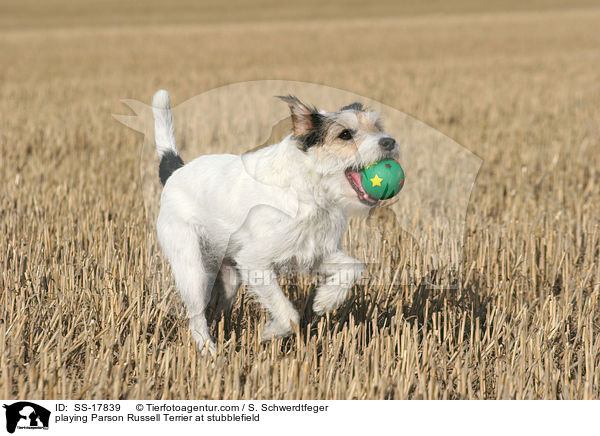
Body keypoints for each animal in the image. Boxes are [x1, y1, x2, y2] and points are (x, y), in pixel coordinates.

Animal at [151, 90, 398, 352]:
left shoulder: (315, 253)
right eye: (345, 134)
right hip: (192, 268)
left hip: (229, 276)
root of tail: (175, 172)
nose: (389, 142)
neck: (308, 189)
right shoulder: (254, 262)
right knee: (196, 315)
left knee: (215, 310)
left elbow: (354, 267)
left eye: (377, 127)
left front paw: (325, 301)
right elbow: (289, 314)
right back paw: (208, 349)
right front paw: (270, 333)